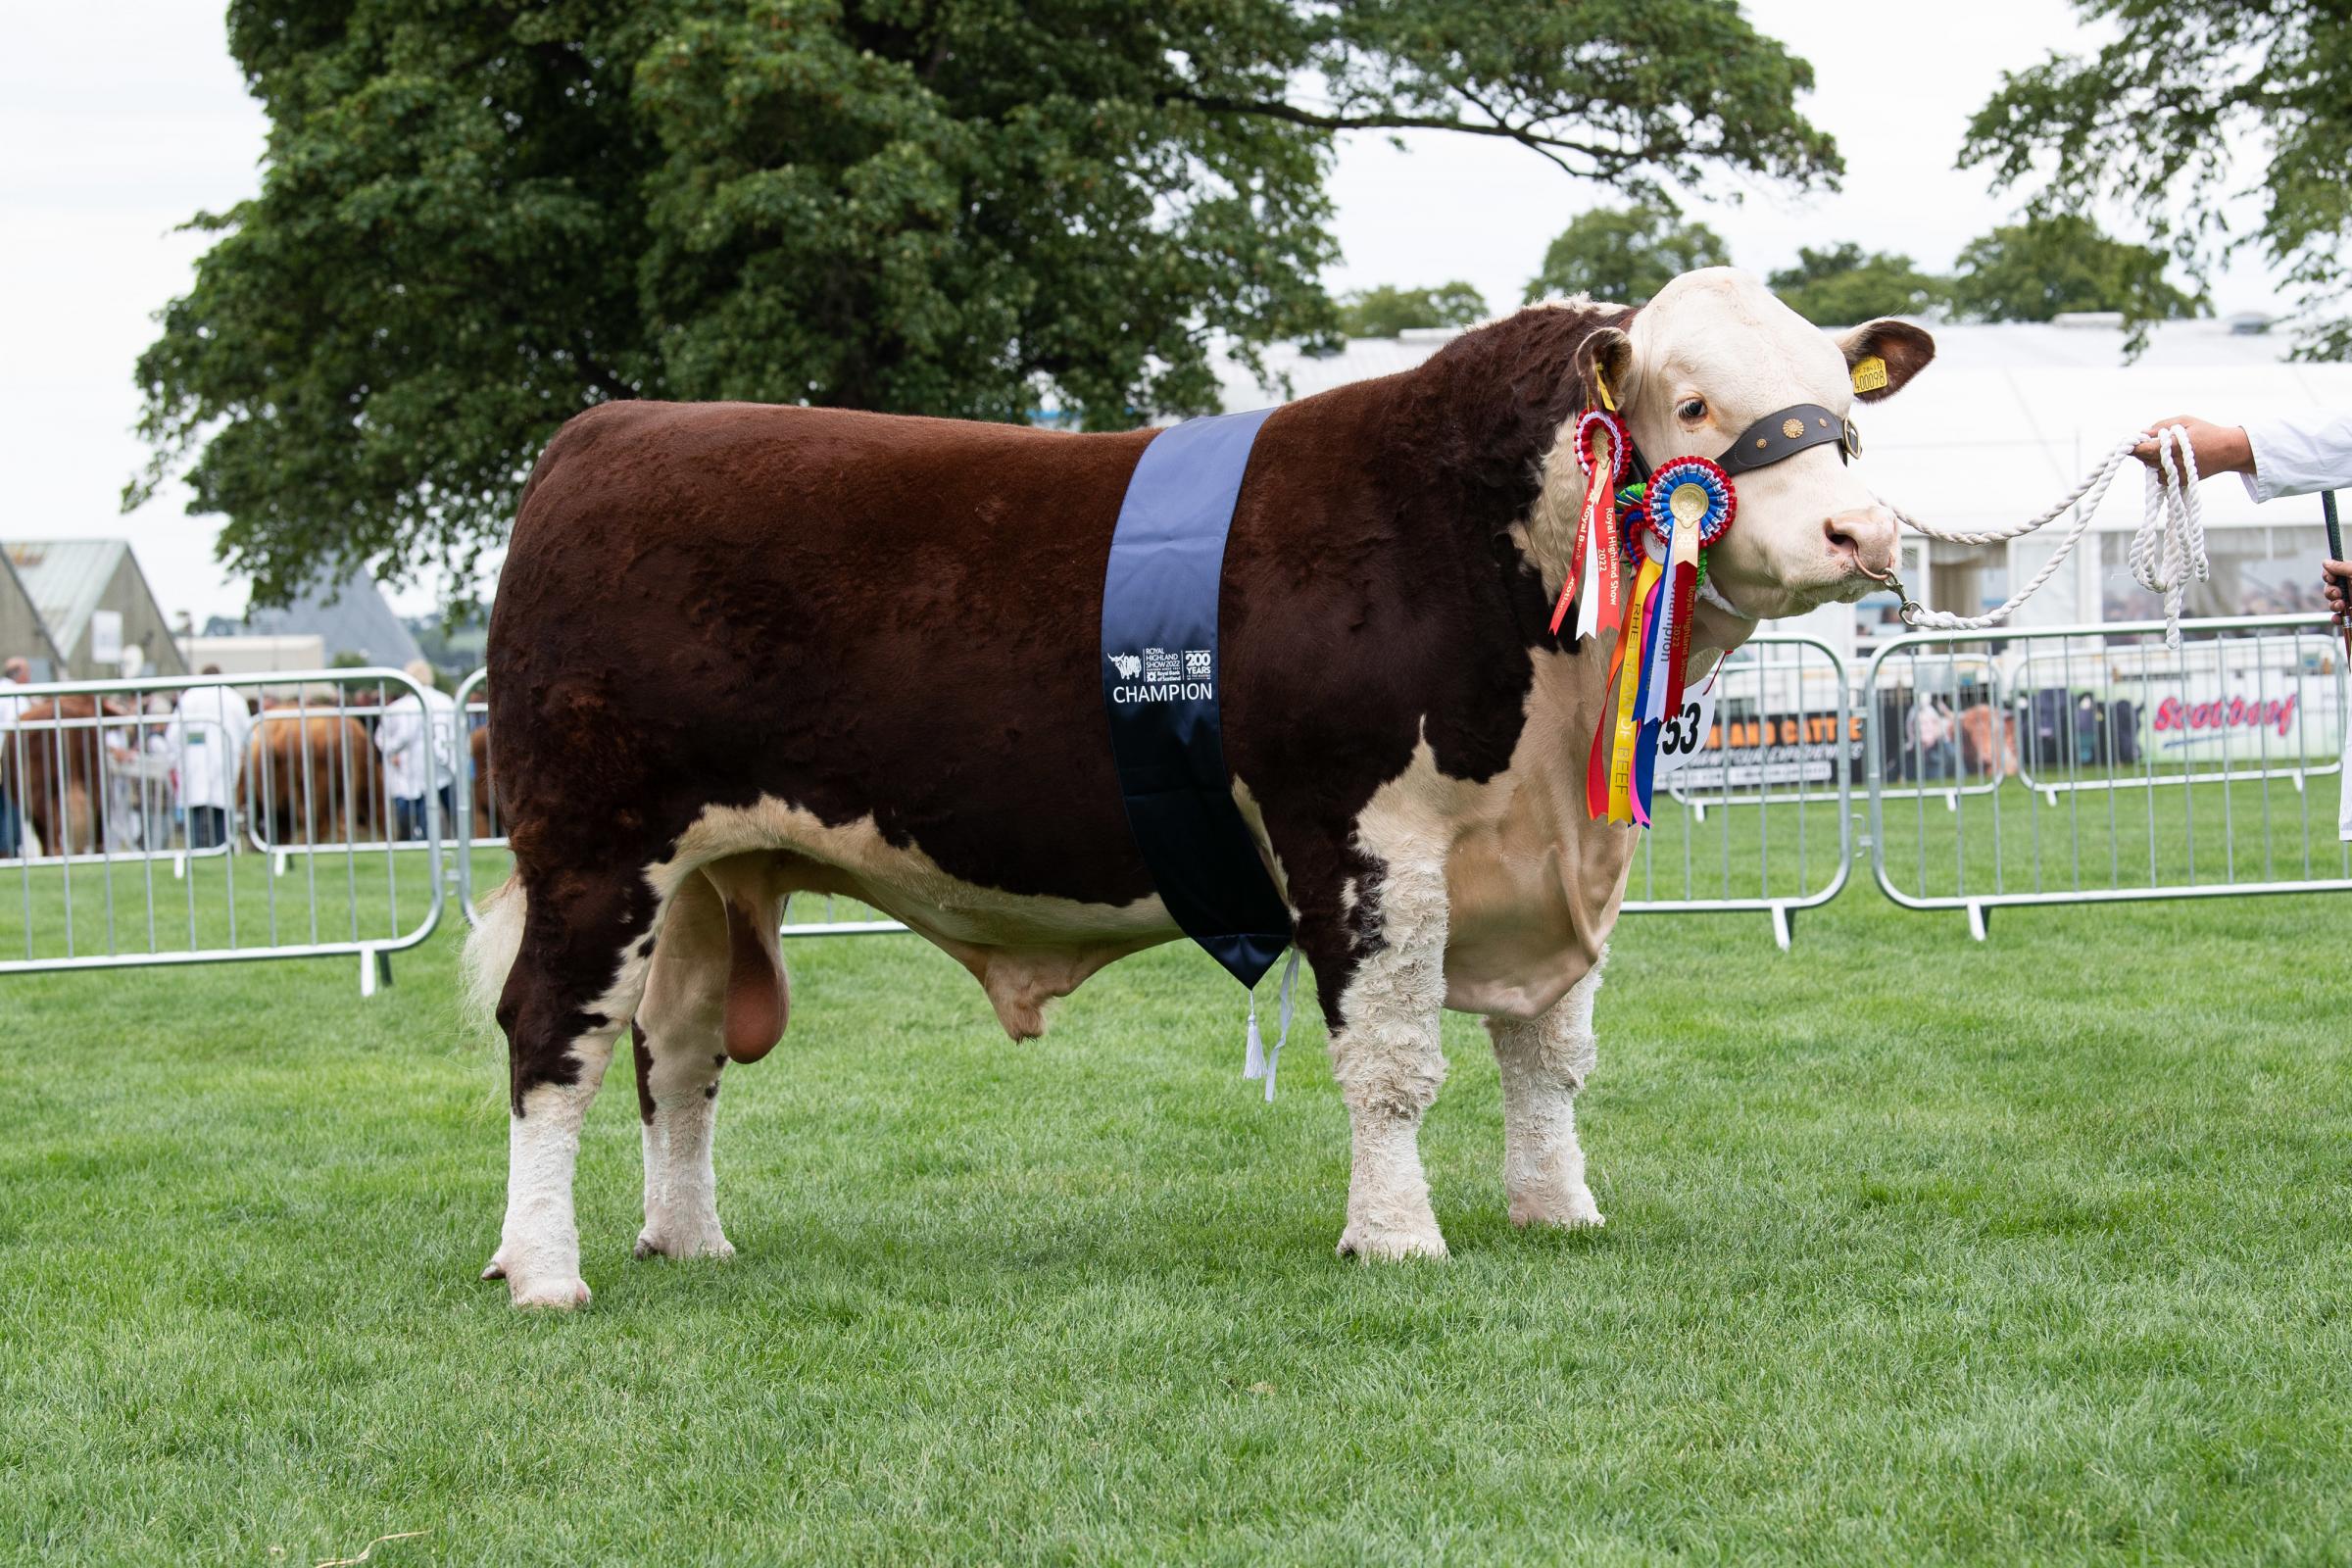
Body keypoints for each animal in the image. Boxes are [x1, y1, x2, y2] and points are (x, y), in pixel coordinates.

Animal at [459, 272, 1929, 1316]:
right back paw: (544, 1272)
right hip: (594, 842)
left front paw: (1556, 1210)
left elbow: (1549, 1054)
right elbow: (1392, 1060)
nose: (1861, 534)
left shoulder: (1553, 857)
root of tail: (608, 433)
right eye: (1694, 404)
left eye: (1846, 409)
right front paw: (1396, 1237)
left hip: (705, 876)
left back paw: (686, 1238)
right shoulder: (1359, 835)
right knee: (552, 1036)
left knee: (675, 1049)